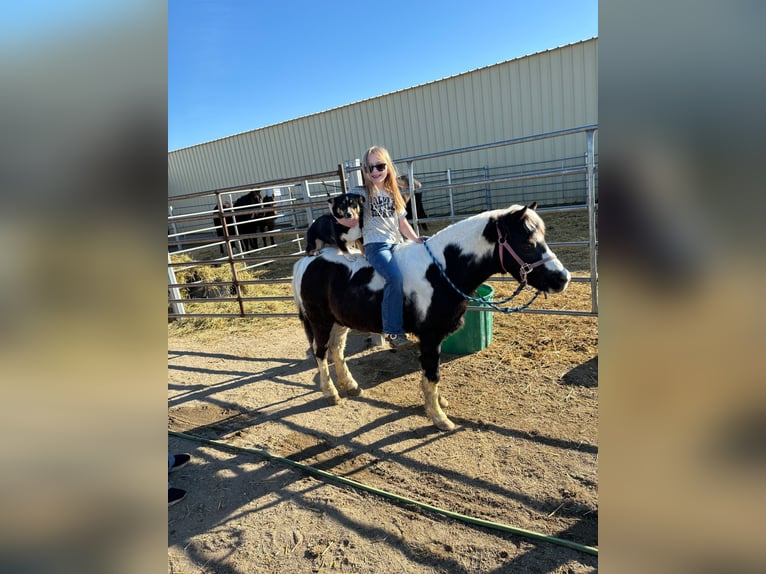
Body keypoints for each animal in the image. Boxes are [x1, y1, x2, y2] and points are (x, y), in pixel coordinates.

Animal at [292, 203, 570, 431]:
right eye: (527, 242)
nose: (562, 278)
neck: (440, 271)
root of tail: (307, 261)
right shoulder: (429, 337)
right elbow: (432, 375)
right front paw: (439, 418)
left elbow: (432, 375)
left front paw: (437, 404)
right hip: (320, 321)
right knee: (320, 352)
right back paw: (331, 393)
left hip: (340, 322)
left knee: (337, 350)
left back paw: (350, 386)